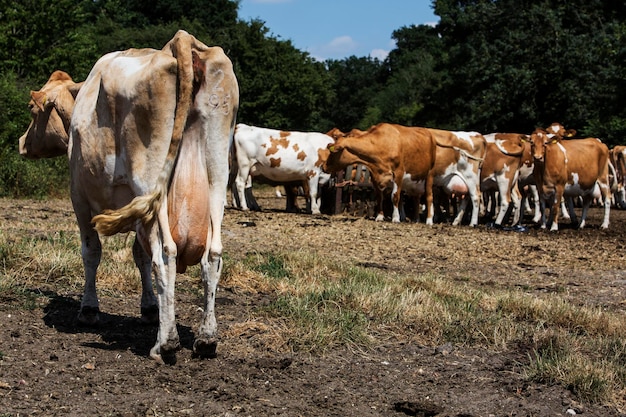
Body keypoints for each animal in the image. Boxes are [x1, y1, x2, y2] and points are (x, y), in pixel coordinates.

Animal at [18, 29, 239, 362]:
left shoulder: (79, 196)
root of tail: (181, 41)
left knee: (166, 254)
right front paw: (149, 309)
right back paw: (206, 339)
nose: (21, 142)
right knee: (212, 255)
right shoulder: (139, 214)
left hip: (149, 179)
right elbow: (139, 255)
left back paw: (166, 343)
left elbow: (91, 251)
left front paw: (89, 310)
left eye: (33, 110)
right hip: (216, 176)